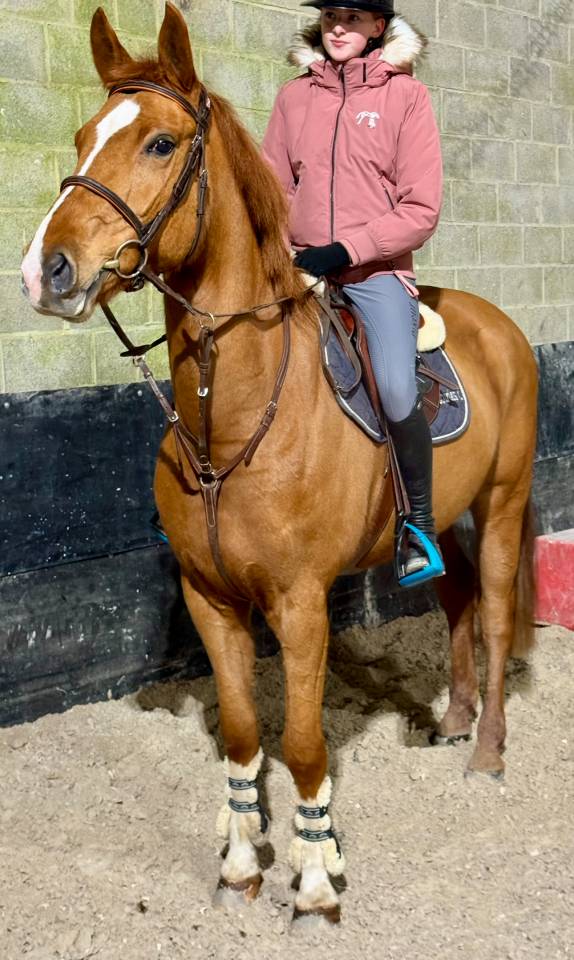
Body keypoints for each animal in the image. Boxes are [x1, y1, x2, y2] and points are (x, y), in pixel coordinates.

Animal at [20, 3, 538, 923]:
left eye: (159, 143)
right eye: (82, 135)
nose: (46, 271)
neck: (228, 425)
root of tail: (501, 325)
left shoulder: (301, 605)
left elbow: (300, 742)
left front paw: (318, 876)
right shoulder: (212, 599)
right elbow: (240, 735)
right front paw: (240, 865)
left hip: (506, 503)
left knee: (499, 612)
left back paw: (486, 754)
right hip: (441, 519)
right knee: (459, 604)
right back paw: (452, 718)